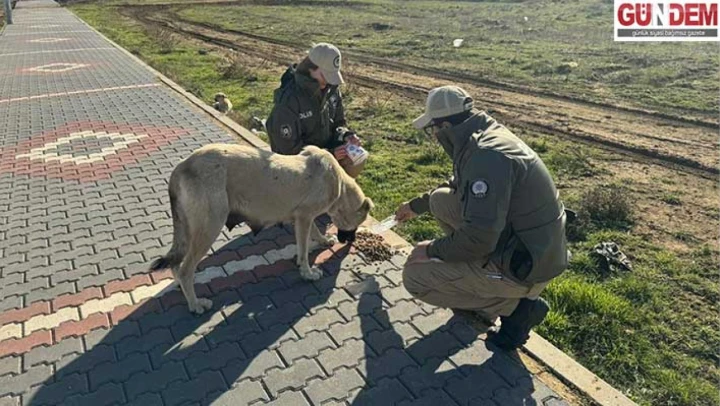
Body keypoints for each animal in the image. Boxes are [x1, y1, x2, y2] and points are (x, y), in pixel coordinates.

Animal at [150, 144, 373, 314]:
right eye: (357, 224)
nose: (351, 241)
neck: (339, 184)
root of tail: (182, 166)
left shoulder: (302, 218)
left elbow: (314, 232)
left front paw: (324, 241)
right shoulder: (304, 217)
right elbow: (303, 250)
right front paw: (307, 273)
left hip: (189, 229)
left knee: (177, 264)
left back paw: (183, 288)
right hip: (209, 227)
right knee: (186, 268)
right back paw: (195, 304)